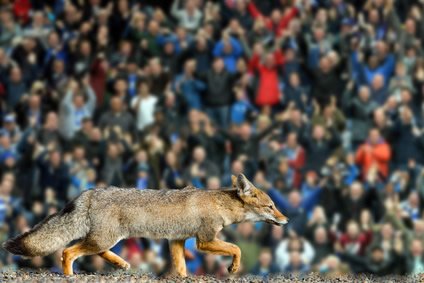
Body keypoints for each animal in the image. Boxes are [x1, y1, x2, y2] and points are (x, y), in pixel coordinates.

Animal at [1, 174, 288, 276]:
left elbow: (181, 269)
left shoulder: (177, 240)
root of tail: (89, 192)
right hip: (103, 238)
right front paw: (233, 267)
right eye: (270, 206)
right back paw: (70, 276)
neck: (221, 204)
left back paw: (121, 264)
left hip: (106, 238)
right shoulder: (204, 241)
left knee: (92, 251)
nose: (286, 220)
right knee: (68, 252)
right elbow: (236, 248)